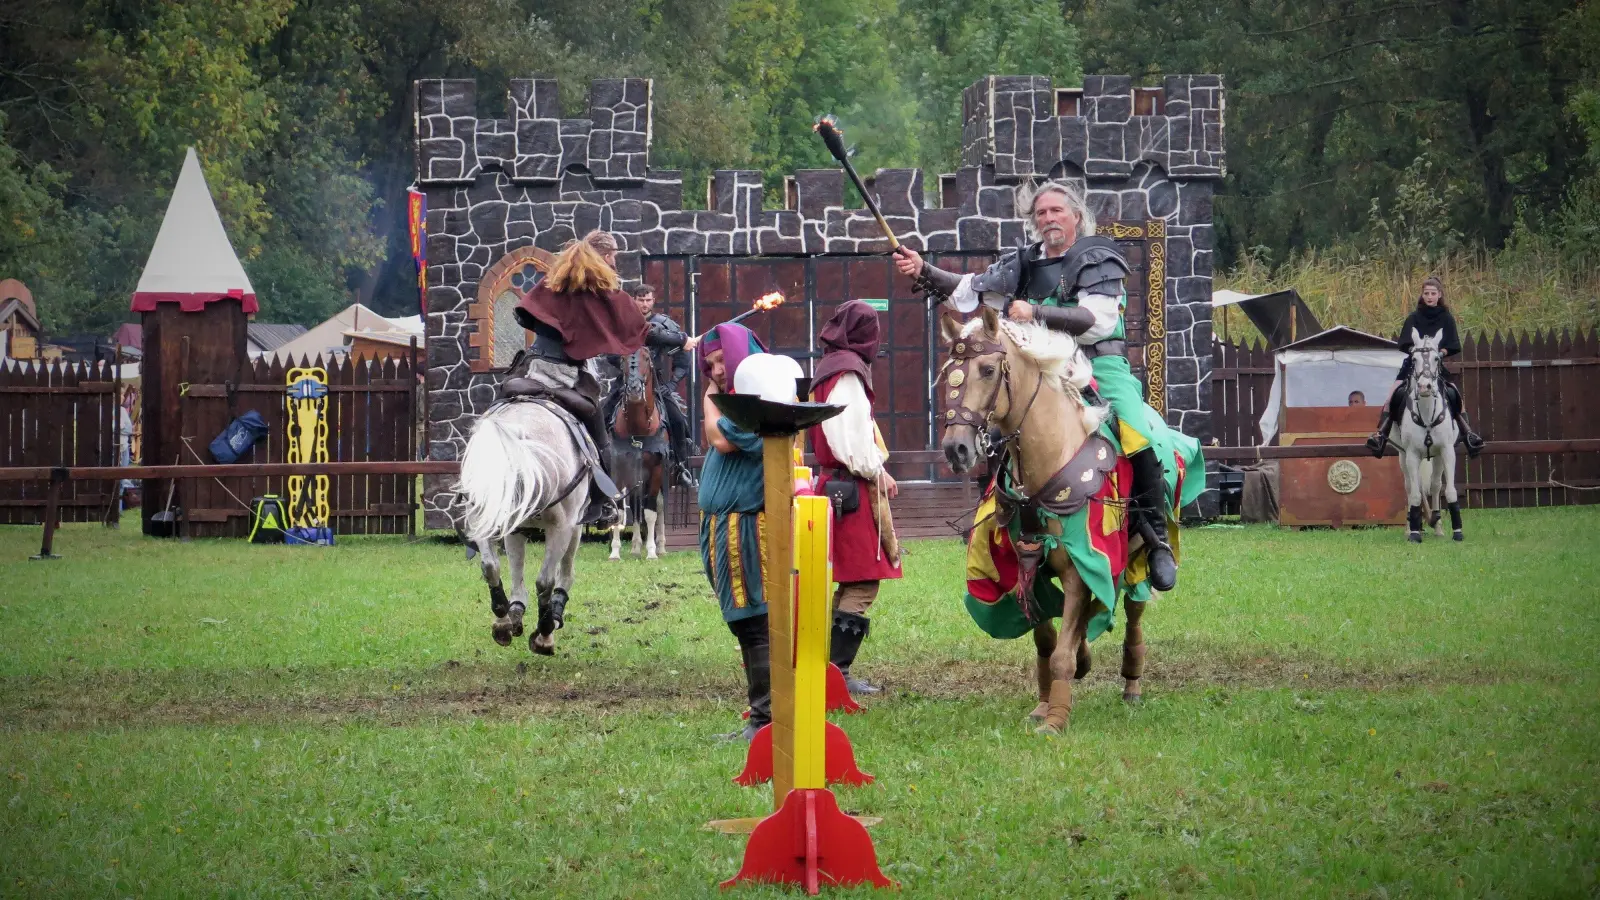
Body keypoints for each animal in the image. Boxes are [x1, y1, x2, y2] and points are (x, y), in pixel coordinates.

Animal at [460, 398, 592, 650]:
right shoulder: (567, 525)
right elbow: (550, 579)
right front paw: (546, 629)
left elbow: (504, 567)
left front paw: (511, 615)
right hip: (564, 526)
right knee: (550, 578)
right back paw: (545, 627)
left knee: (491, 566)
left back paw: (506, 619)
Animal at [604, 347, 668, 557]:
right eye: (623, 359)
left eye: (647, 358)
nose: (633, 390)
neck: (638, 428)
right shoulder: (618, 470)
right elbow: (621, 509)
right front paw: (615, 552)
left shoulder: (657, 470)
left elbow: (651, 511)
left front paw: (652, 551)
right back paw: (635, 546)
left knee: (659, 504)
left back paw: (661, 546)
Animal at [934, 304, 1152, 733]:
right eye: (948, 370)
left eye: (988, 369)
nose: (956, 448)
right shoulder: (1027, 566)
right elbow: (1049, 643)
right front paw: (1043, 704)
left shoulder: (1082, 566)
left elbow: (1063, 651)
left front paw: (1055, 720)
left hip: (1138, 552)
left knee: (1134, 607)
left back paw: (1132, 683)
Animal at [1388, 328, 1465, 538]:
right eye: (1413, 359)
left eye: (1437, 358)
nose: (1424, 387)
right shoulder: (1412, 454)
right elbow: (1414, 493)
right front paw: (1414, 532)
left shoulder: (1447, 451)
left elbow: (1449, 490)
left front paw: (1457, 530)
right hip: (1403, 455)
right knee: (1410, 487)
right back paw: (1410, 527)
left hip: (1436, 457)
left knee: (1435, 485)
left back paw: (1437, 526)